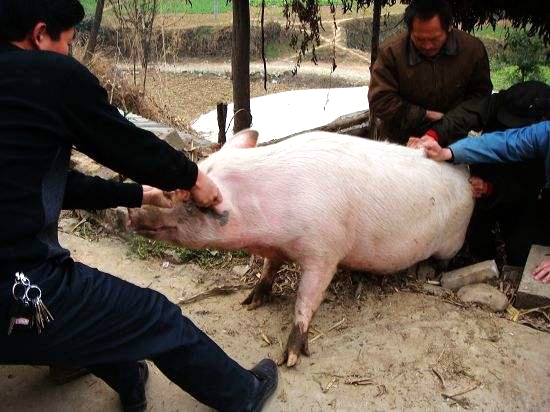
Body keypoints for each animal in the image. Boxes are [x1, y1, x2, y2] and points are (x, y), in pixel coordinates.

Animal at [128, 130, 474, 366]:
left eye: (189, 204)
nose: (130, 212)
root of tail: (466, 180)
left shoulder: (325, 252)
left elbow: (307, 297)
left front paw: (289, 359)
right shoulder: (279, 248)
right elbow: (270, 268)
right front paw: (250, 302)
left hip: (453, 241)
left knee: (445, 261)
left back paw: (426, 271)